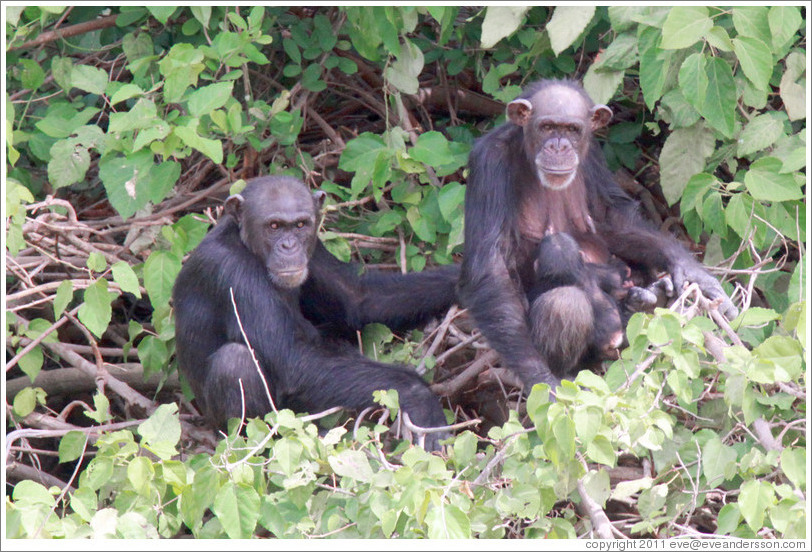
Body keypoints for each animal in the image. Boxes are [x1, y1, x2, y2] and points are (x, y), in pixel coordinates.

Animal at [174, 176, 460, 448]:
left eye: (300, 225)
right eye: (274, 226)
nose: (289, 246)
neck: (247, 245)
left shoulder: (315, 248)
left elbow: (358, 300)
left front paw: (463, 281)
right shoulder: (233, 272)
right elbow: (295, 358)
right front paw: (419, 396)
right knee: (235, 362)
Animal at [460, 78, 740, 392]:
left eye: (572, 129)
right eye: (546, 127)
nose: (559, 145)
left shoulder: (593, 153)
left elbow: (611, 220)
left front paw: (693, 273)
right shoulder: (488, 162)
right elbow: (492, 266)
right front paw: (542, 380)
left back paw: (653, 295)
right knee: (564, 305)